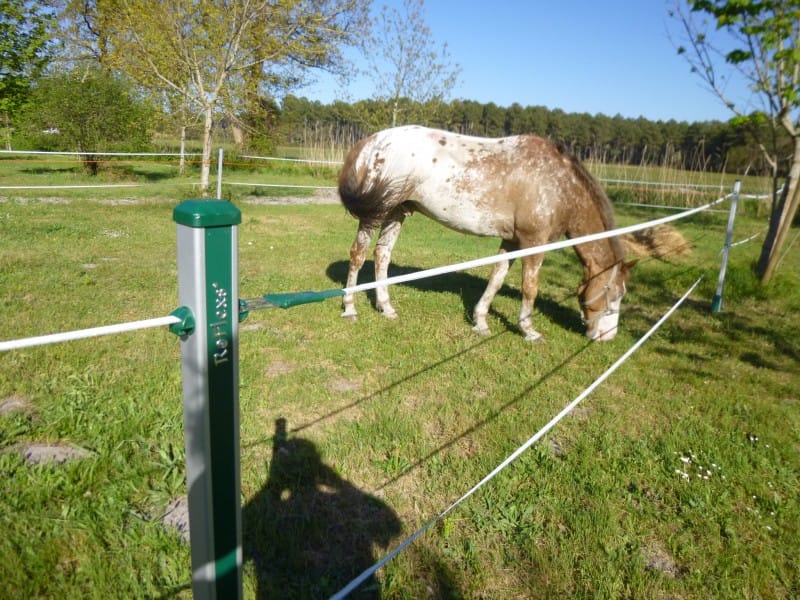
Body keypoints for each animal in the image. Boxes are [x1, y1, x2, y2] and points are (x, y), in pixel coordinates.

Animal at [336, 125, 632, 342]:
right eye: (613, 293)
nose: (608, 337)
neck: (558, 185)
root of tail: (371, 142)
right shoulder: (533, 242)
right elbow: (530, 288)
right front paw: (529, 331)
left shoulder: (512, 241)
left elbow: (496, 279)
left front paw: (480, 322)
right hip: (376, 213)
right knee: (358, 255)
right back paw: (350, 308)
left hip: (397, 211)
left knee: (382, 255)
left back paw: (386, 307)